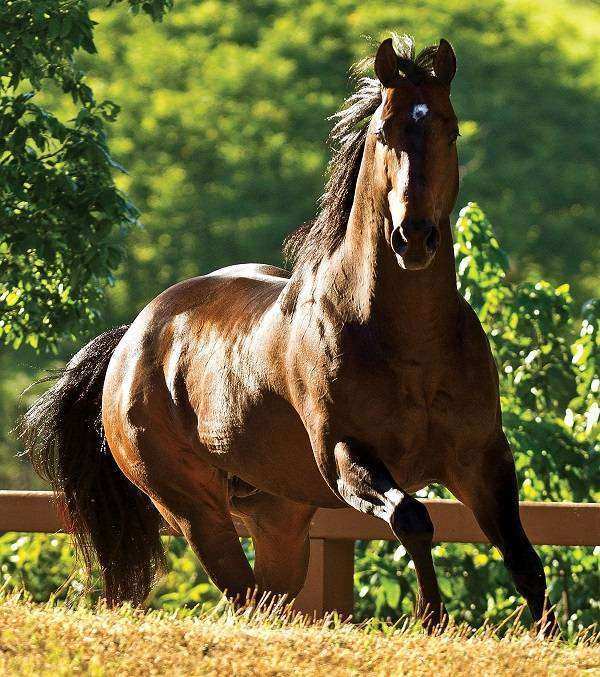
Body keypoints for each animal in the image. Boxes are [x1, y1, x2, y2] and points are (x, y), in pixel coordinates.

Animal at [23, 35, 556, 628]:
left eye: (450, 128)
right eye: (383, 130)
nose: (413, 237)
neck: (411, 345)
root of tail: (129, 341)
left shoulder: (481, 457)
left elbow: (523, 556)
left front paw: (544, 633)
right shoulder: (345, 458)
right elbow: (412, 518)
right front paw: (432, 618)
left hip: (279, 515)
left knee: (267, 596)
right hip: (194, 510)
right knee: (241, 594)